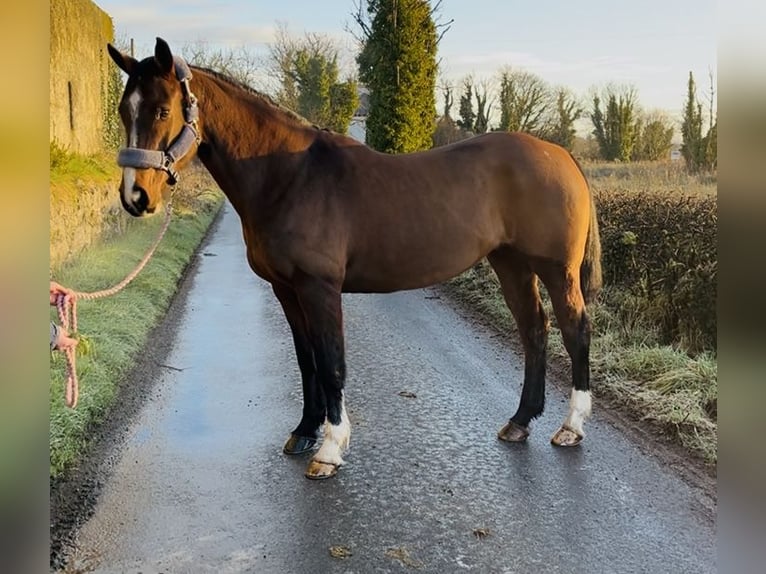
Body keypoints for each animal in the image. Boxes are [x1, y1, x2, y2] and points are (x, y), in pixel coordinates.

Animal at [107, 38, 602, 480]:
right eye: (124, 110)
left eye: (163, 110)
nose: (136, 197)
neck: (289, 176)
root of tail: (561, 154)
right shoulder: (286, 289)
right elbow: (306, 358)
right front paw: (304, 432)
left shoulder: (319, 287)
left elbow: (331, 361)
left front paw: (329, 449)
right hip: (511, 264)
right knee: (534, 329)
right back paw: (520, 422)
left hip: (556, 271)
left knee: (575, 330)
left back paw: (571, 427)